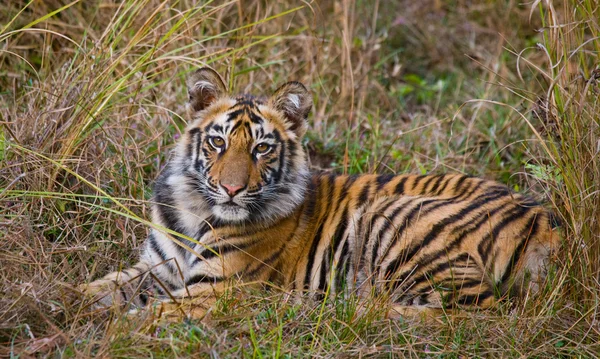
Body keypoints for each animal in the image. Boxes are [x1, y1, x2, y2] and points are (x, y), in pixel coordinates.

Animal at [81, 67, 564, 318]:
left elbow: (144, 317)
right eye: (218, 142)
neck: (194, 208)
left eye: (261, 148)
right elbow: (96, 290)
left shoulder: (216, 287)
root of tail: (543, 218)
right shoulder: (157, 269)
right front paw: (63, 305)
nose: (232, 189)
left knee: (466, 312)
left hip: (392, 218)